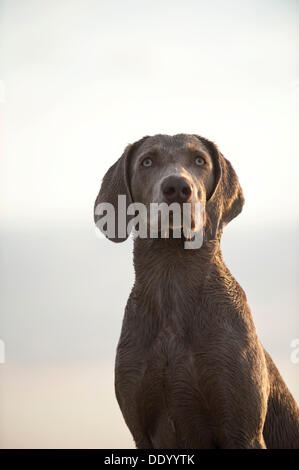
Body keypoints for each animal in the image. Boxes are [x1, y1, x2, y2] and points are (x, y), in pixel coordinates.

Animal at [94, 132, 299, 448]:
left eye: (200, 160)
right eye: (147, 161)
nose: (177, 188)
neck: (172, 278)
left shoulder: (243, 430)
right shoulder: (140, 430)